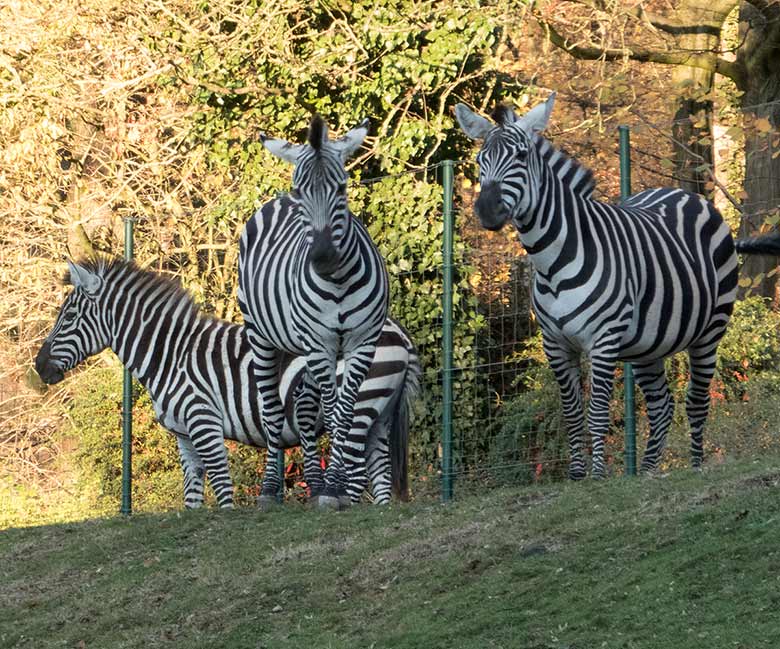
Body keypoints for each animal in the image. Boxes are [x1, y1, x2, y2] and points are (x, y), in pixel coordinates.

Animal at [35, 256, 420, 506]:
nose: (39, 366)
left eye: (68, 316)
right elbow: (192, 500)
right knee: (380, 477)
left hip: (360, 405)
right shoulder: (184, 437)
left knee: (357, 473)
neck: (171, 355)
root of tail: (399, 332)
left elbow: (222, 491)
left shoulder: (204, 423)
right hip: (379, 414)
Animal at [235, 114, 386, 508]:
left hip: (308, 347)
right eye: (303, 192)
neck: (338, 282)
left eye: (342, 188)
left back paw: (314, 483)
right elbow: (332, 414)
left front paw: (335, 487)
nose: (322, 257)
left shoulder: (361, 343)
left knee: (303, 402)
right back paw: (270, 489)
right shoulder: (319, 344)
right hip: (263, 336)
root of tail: (276, 201)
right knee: (273, 410)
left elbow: (344, 412)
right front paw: (334, 486)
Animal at [454, 91, 780, 476]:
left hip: (710, 330)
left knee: (696, 402)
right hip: (647, 344)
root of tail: (684, 194)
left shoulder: (603, 339)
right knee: (662, 405)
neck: (552, 262)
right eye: (480, 160)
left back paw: (696, 466)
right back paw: (650, 472)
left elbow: (597, 412)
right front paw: (578, 476)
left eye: (520, 156)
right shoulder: (555, 344)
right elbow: (572, 414)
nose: (487, 210)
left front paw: (597, 476)